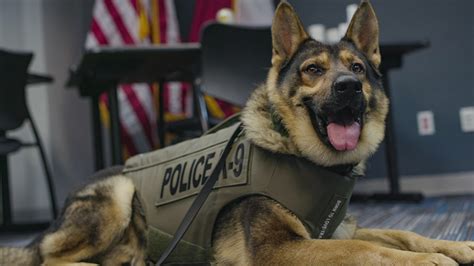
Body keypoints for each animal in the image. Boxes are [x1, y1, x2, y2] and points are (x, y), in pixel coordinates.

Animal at [1, 1, 472, 264]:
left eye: (357, 68)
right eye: (313, 70)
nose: (348, 88)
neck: (301, 154)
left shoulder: (336, 230)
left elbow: (402, 234)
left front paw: (454, 247)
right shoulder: (281, 249)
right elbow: (365, 250)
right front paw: (428, 260)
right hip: (118, 194)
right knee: (49, 258)